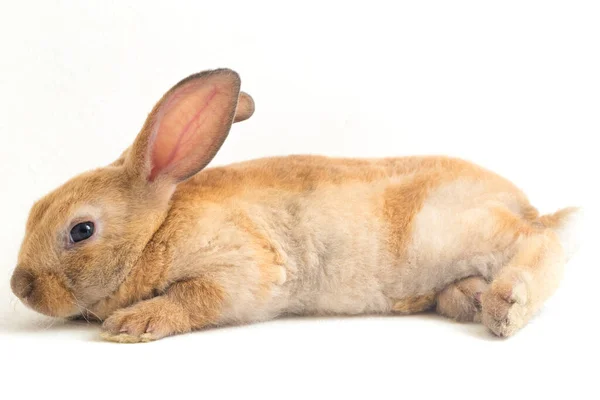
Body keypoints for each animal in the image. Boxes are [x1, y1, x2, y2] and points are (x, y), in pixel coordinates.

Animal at [8, 67, 580, 342]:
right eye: (33, 209)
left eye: (81, 231)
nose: (18, 287)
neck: (154, 230)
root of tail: (524, 204)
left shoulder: (242, 267)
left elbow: (194, 297)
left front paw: (132, 325)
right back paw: (471, 301)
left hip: (457, 228)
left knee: (541, 244)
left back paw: (506, 306)